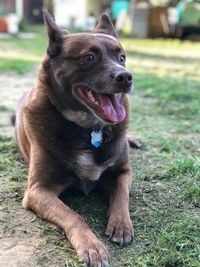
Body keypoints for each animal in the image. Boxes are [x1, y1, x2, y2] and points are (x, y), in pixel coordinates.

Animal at [14, 11, 134, 267]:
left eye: (122, 57)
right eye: (88, 57)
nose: (127, 77)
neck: (89, 129)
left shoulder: (123, 172)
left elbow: (121, 195)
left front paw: (121, 224)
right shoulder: (38, 190)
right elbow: (74, 215)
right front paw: (92, 246)